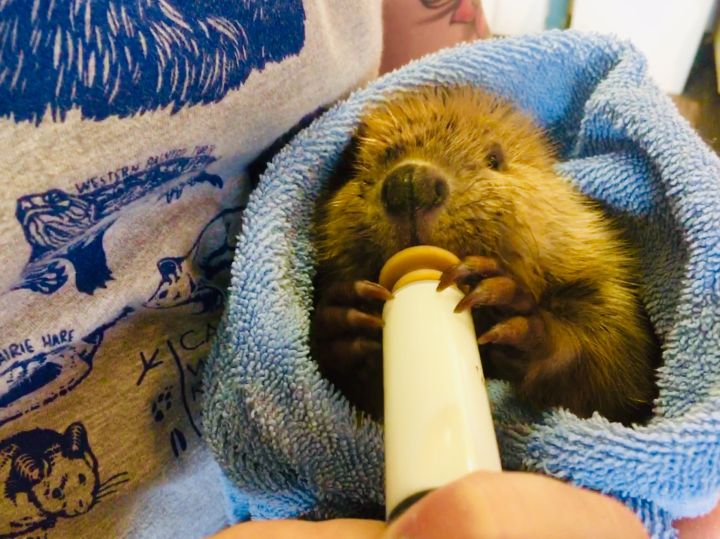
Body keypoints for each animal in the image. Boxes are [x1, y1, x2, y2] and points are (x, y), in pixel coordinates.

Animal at [311, 86, 660, 425]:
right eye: (356, 166)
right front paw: (349, 317)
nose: (409, 184)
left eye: (494, 158)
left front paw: (503, 302)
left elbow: (617, 361)